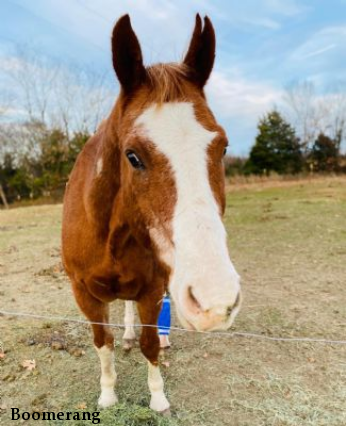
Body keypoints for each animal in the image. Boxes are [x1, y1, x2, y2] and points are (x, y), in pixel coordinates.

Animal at [61, 14, 241, 416]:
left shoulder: (152, 288)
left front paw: (158, 398)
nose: (215, 300)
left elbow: (150, 345)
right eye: (133, 156)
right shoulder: (84, 293)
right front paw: (108, 395)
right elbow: (103, 342)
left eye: (222, 147)